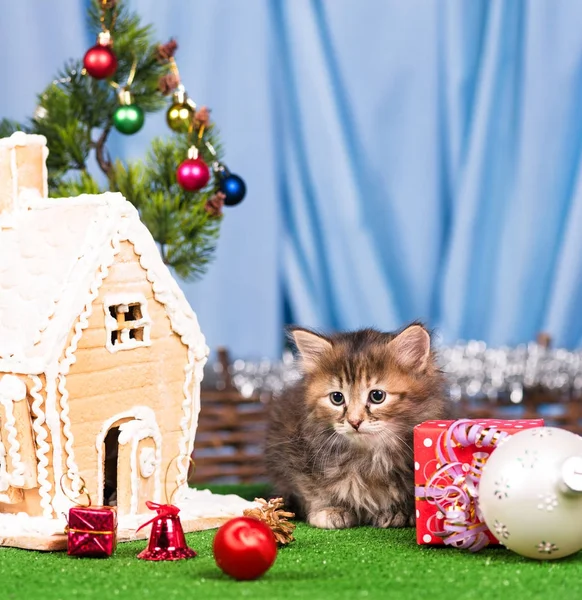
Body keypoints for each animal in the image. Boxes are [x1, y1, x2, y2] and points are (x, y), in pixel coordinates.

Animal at [266, 324, 450, 528]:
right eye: (337, 398)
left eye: (377, 396)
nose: (354, 421)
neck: (368, 457)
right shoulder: (294, 454)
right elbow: (312, 488)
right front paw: (330, 508)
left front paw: (397, 510)